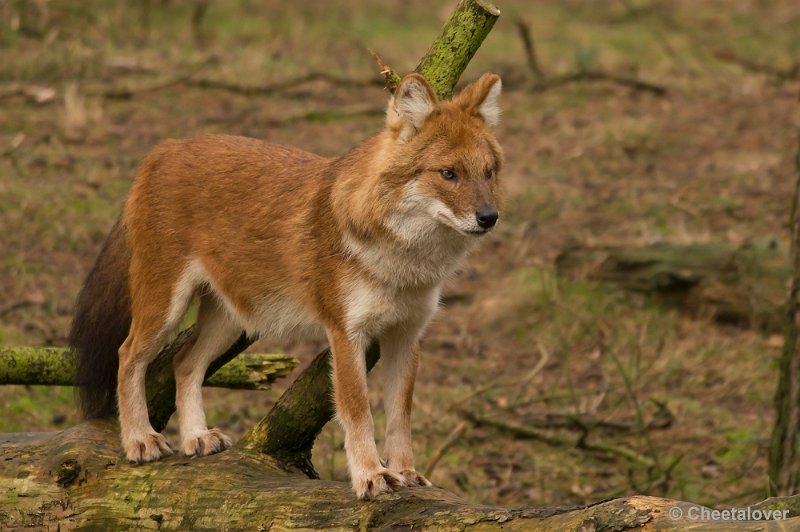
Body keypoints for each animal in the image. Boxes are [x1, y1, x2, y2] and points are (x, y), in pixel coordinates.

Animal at [72, 71, 504, 498]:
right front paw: (371, 475)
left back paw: (196, 437)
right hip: (165, 305)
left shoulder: (406, 335)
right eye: (448, 173)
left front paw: (406, 471)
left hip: (232, 320)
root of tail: (166, 148)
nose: (490, 217)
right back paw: (139, 439)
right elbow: (358, 411)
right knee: (128, 355)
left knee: (184, 361)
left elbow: (400, 414)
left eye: (488, 172)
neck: (405, 260)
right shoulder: (346, 334)